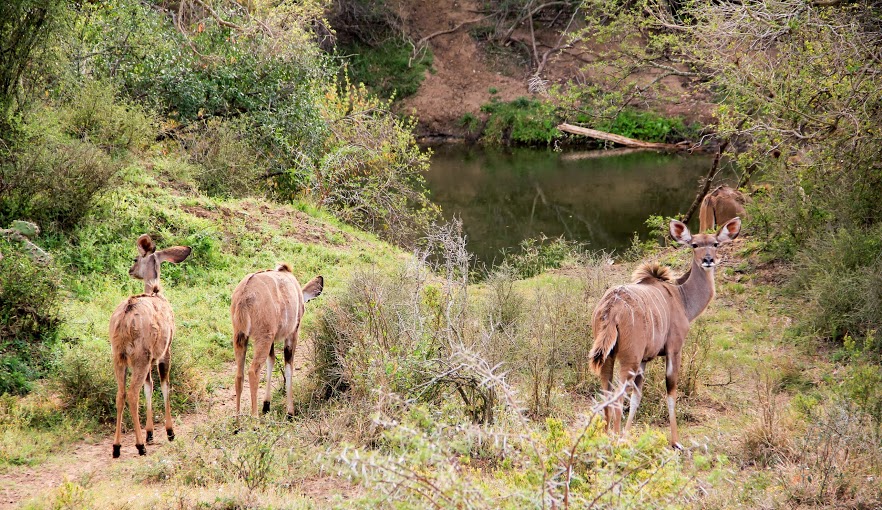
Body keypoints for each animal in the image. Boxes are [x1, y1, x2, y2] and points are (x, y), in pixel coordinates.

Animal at [109, 235, 190, 458]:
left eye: (135, 259)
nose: (130, 270)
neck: (155, 292)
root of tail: (125, 319)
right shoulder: (164, 353)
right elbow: (164, 386)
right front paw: (169, 432)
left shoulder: (151, 360)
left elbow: (149, 387)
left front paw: (150, 433)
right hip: (139, 359)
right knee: (131, 394)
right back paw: (139, 446)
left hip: (119, 359)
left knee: (120, 394)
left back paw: (117, 447)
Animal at [229, 264, 322, 416]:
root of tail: (244, 295)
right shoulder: (292, 333)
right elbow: (288, 366)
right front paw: (290, 412)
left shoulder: (271, 339)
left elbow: (271, 361)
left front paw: (266, 405)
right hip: (262, 338)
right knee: (253, 371)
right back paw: (255, 418)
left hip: (240, 337)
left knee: (239, 375)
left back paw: (238, 419)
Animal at [588, 217, 740, 448]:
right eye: (694, 245)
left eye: (715, 244)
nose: (708, 260)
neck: (681, 297)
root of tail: (611, 307)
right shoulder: (673, 349)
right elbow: (671, 391)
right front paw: (676, 442)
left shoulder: (645, 360)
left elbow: (637, 397)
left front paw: (626, 435)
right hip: (629, 359)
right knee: (617, 395)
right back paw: (614, 440)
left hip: (609, 358)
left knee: (606, 392)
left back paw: (606, 438)